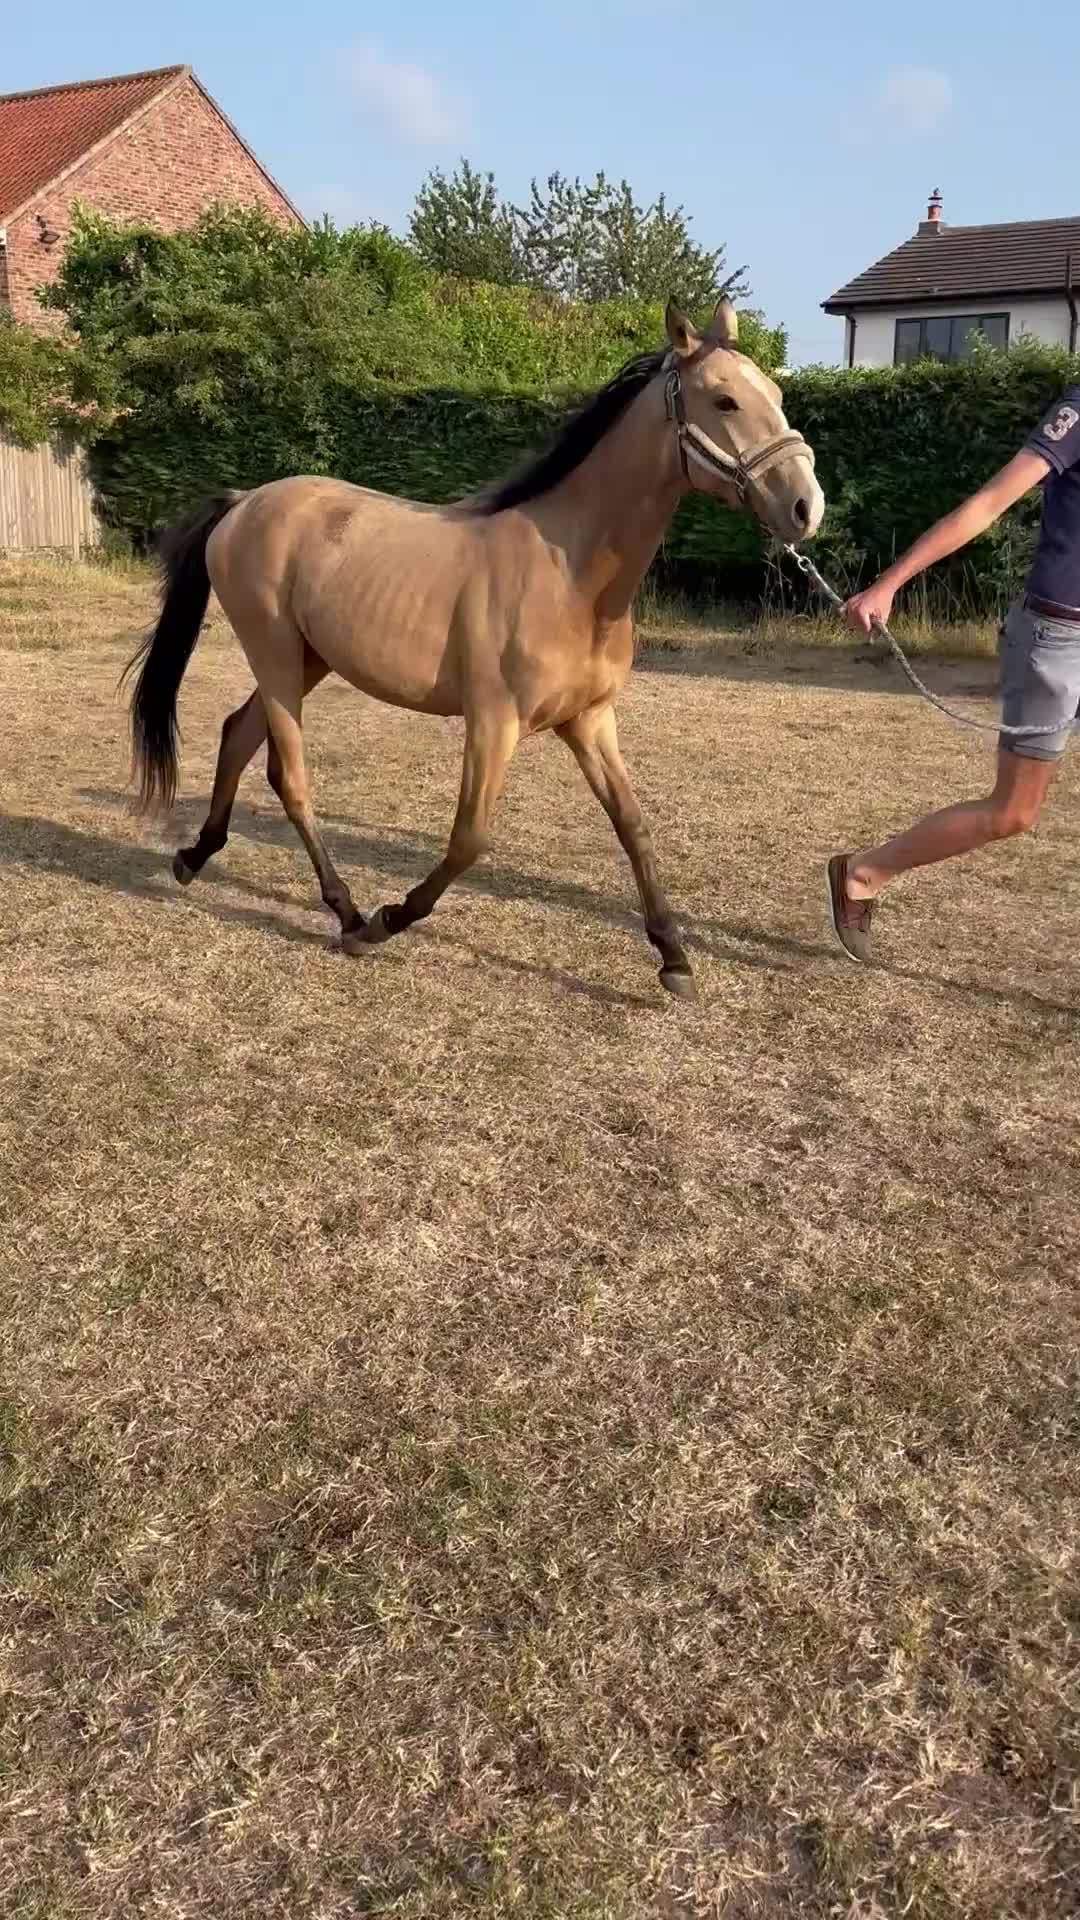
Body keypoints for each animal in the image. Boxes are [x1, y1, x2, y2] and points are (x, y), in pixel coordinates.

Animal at [126, 298, 823, 1000]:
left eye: (776, 393)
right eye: (724, 400)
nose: (806, 508)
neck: (569, 574)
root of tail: (244, 502)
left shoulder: (589, 720)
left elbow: (632, 824)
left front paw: (674, 958)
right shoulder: (494, 722)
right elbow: (470, 840)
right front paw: (387, 921)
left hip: (306, 659)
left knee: (239, 732)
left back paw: (194, 857)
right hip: (272, 654)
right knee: (289, 777)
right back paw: (347, 913)